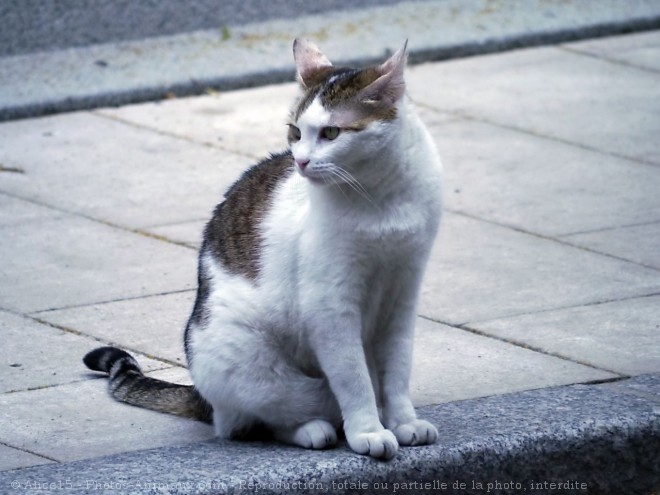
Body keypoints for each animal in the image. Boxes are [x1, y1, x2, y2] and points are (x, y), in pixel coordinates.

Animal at [84, 38, 444, 462]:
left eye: (332, 132)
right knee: (255, 422)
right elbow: (354, 379)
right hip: (249, 359)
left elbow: (397, 372)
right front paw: (369, 432)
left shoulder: (403, 291)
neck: (380, 197)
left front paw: (403, 422)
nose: (301, 161)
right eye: (295, 131)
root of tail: (204, 398)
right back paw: (312, 429)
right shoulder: (330, 307)